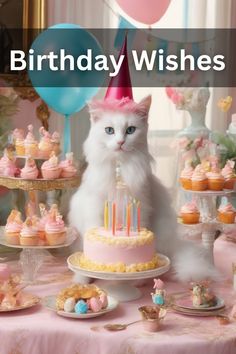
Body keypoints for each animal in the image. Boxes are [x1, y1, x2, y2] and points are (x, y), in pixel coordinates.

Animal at [69, 94, 220, 282]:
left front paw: (135, 281)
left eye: (130, 130)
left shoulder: (141, 206)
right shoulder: (94, 208)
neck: (120, 168)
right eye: (109, 130)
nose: (120, 142)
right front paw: (82, 280)